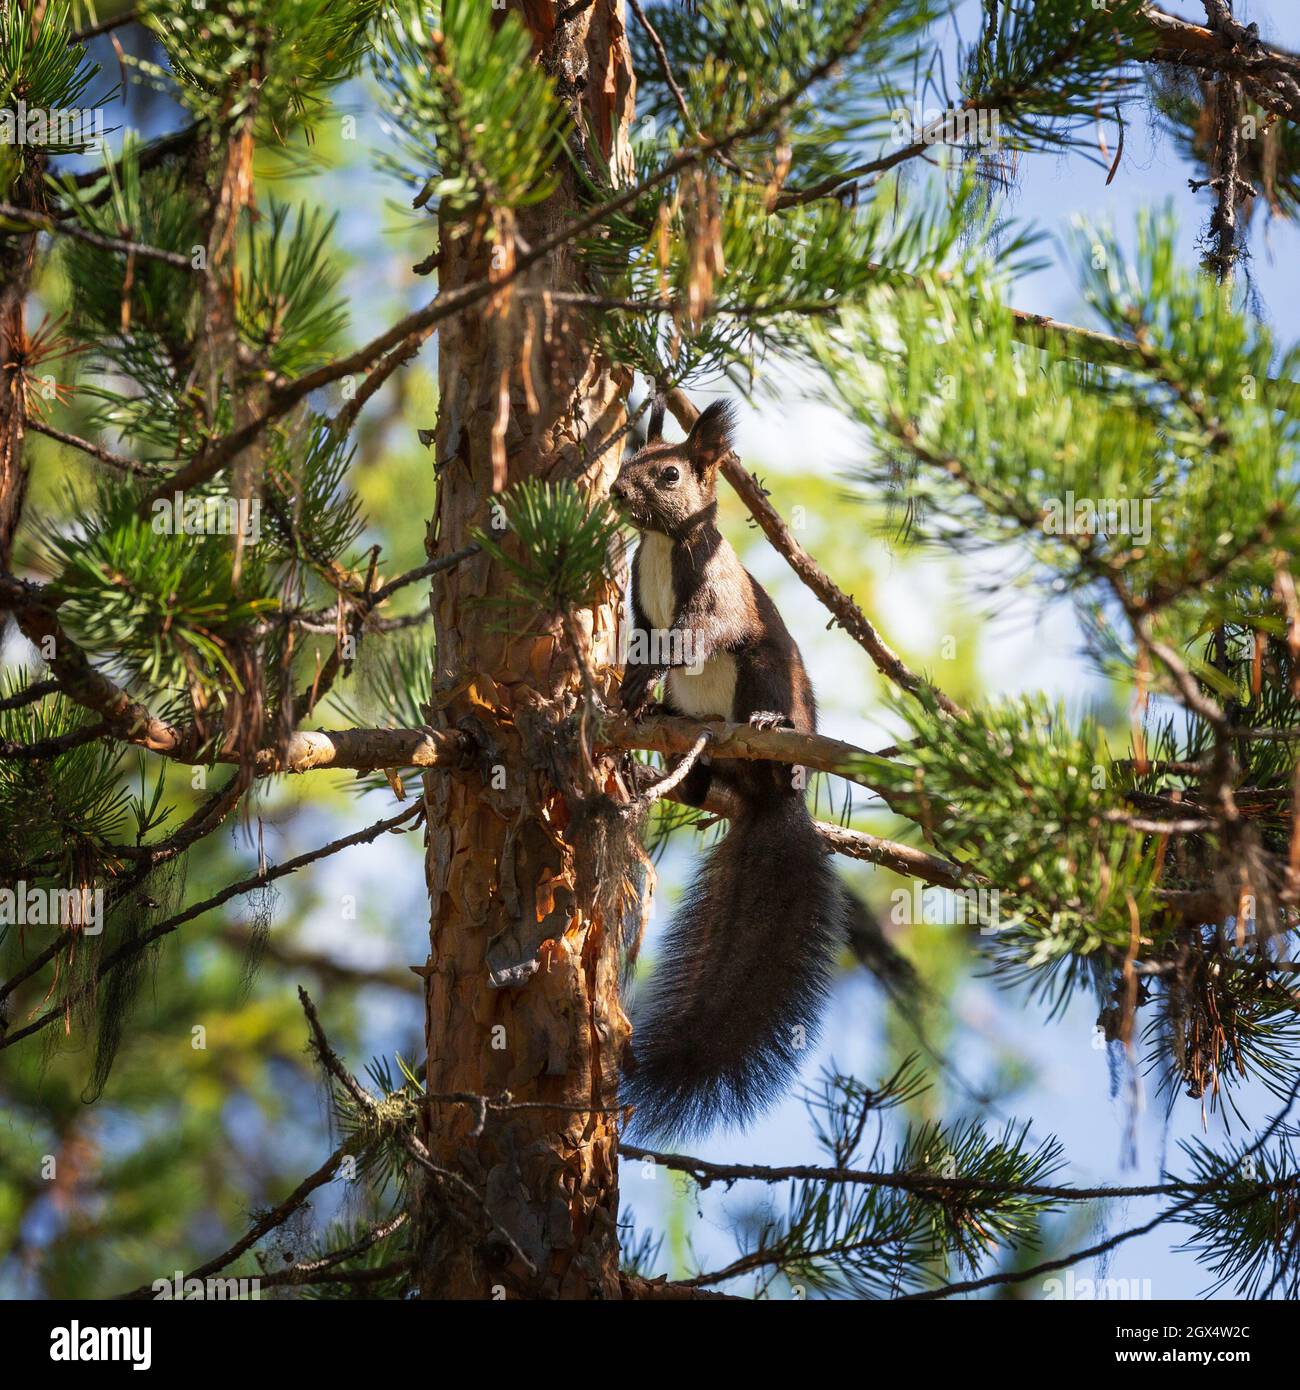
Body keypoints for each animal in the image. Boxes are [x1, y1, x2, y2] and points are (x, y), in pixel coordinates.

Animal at [611, 397, 889, 1140]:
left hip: (765, 669)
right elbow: (642, 640)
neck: (659, 544)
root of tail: (767, 802)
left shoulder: (714, 597)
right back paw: (677, 766)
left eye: (670, 473)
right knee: (694, 771)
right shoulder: (638, 604)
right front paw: (627, 691)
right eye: (630, 457)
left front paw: (640, 681)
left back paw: (769, 734)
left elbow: (690, 638)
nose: (616, 491)